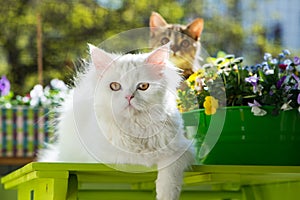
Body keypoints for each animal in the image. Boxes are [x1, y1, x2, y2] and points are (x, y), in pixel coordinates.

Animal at [37, 43, 196, 199]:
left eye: (143, 86)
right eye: (115, 86)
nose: (129, 97)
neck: (135, 126)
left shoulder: (182, 149)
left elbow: (169, 173)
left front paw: (165, 195)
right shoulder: (108, 158)